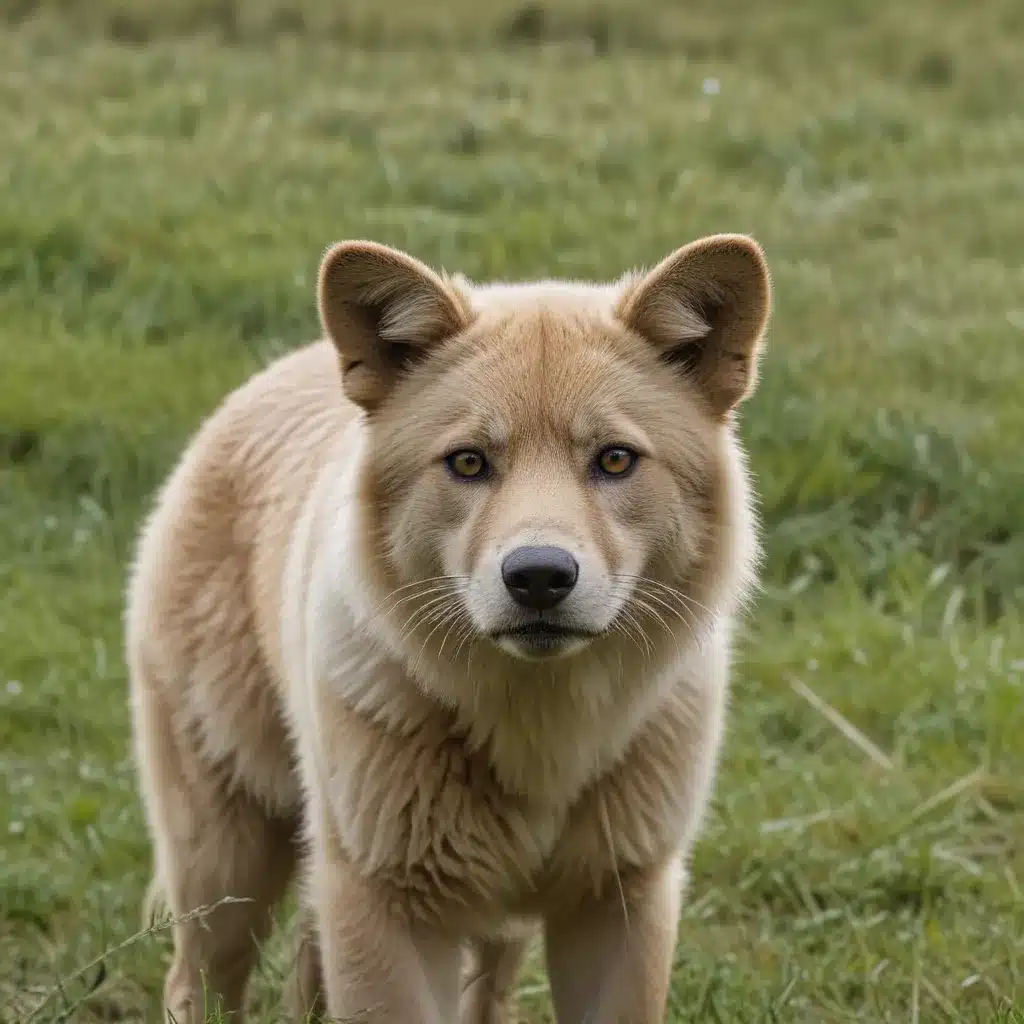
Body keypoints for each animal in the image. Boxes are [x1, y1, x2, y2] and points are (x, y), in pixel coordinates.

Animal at [125, 234, 770, 1024]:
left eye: (615, 459)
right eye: (468, 462)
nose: (539, 577)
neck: (538, 730)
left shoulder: (621, 899)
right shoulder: (387, 904)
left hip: (453, 915)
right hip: (226, 858)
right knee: (195, 982)